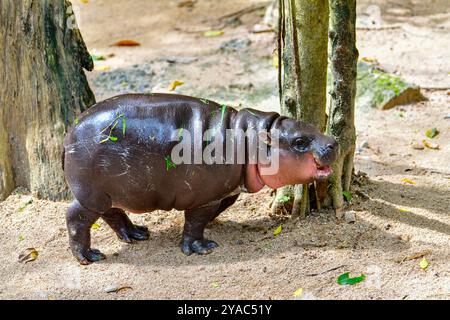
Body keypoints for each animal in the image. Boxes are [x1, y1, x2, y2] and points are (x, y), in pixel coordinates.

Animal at [63, 94, 338, 264]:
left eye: (311, 125)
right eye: (299, 142)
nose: (333, 142)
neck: (250, 139)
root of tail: (69, 134)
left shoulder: (226, 190)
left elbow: (216, 211)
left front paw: (214, 225)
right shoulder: (204, 197)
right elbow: (195, 221)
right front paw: (202, 248)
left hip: (109, 192)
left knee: (112, 213)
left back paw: (137, 234)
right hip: (91, 194)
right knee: (76, 217)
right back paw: (90, 256)